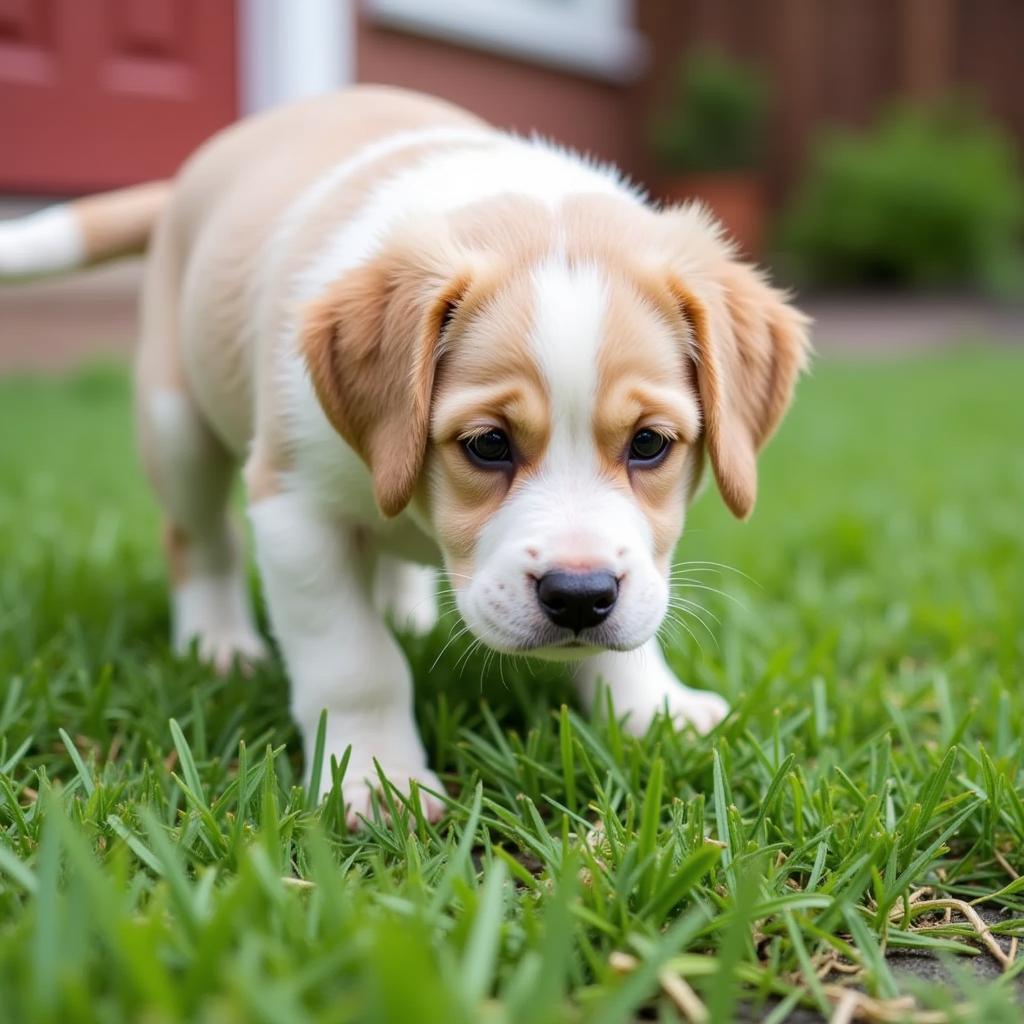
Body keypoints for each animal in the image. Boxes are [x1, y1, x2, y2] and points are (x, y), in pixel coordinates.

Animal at [2, 86, 806, 823]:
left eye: (649, 445)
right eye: (488, 445)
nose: (579, 597)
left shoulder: (640, 558)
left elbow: (634, 625)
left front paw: (653, 709)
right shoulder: (296, 511)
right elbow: (354, 662)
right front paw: (376, 777)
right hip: (178, 424)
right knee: (199, 537)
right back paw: (219, 643)